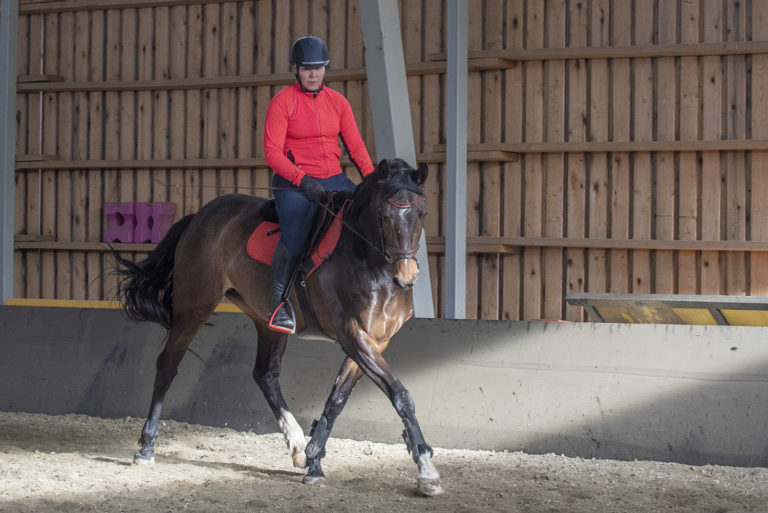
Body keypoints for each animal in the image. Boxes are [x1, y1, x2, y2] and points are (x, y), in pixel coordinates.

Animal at [114, 158, 444, 494]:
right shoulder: (352, 335)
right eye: (384, 216)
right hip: (194, 306)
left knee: (265, 375)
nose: (406, 277)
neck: (369, 261)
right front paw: (426, 468)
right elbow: (401, 396)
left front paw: (314, 459)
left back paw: (297, 446)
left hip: (266, 320)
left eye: (422, 214)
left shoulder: (375, 341)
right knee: (167, 365)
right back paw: (146, 447)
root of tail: (200, 216)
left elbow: (337, 400)